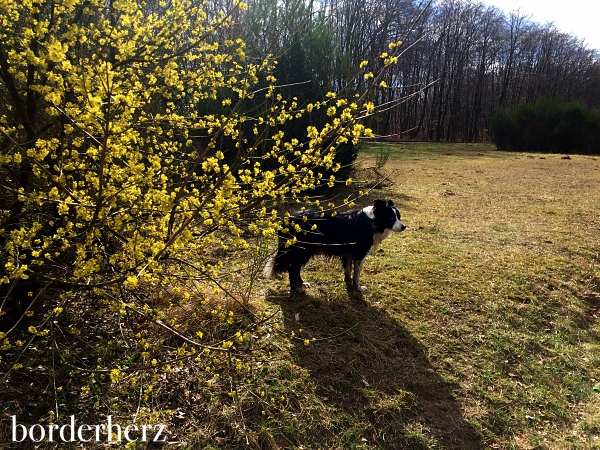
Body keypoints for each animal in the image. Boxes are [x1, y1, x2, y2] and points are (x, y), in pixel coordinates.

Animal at [264, 200, 408, 292]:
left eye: (398, 216)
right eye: (391, 218)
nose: (404, 227)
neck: (373, 221)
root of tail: (285, 220)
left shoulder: (349, 252)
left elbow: (348, 269)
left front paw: (348, 281)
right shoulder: (360, 253)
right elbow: (357, 273)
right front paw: (358, 288)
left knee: (295, 268)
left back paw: (301, 283)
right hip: (304, 250)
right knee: (292, 268)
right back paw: (296, 288)